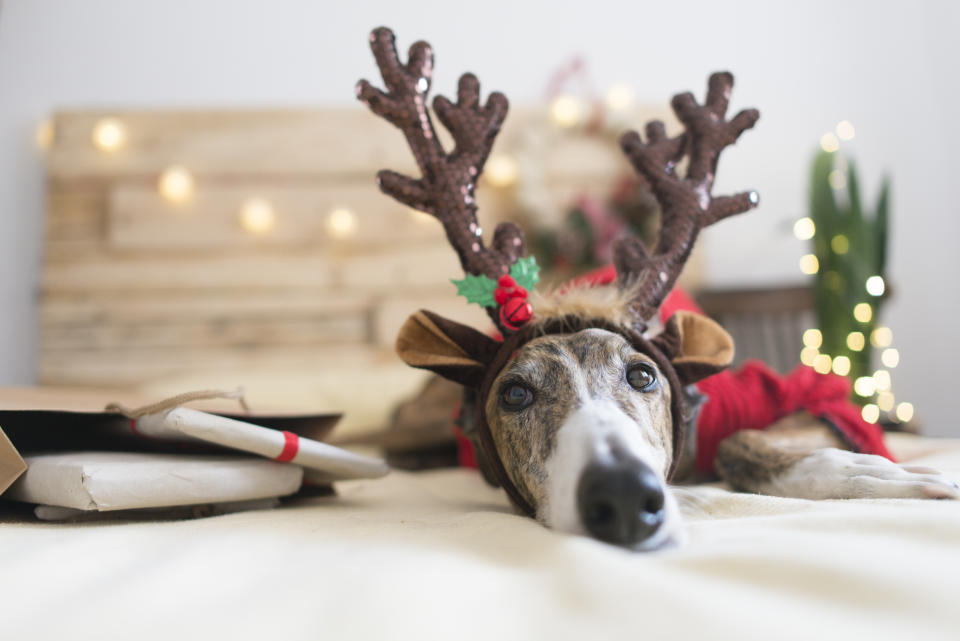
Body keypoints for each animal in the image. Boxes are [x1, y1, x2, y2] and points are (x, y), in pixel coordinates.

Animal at [356, 28, 956, 552]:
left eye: (643, 375)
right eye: (515, 394)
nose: (624, 497)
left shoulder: (789, 395)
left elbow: (746, 439)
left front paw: (864, 469)